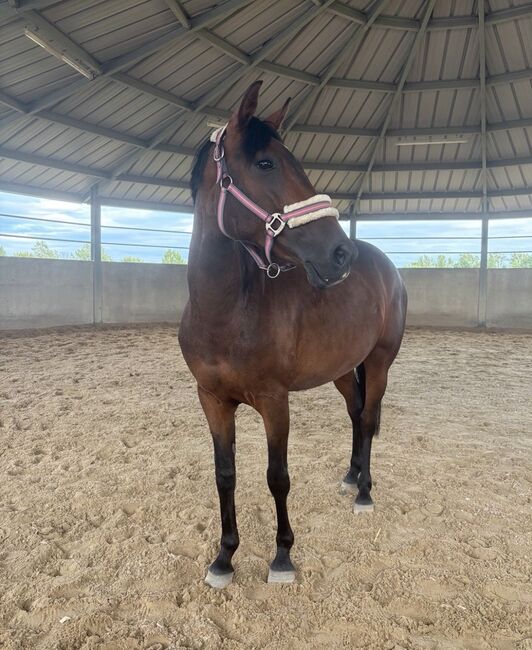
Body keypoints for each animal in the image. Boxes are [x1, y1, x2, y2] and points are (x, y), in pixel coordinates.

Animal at [178, 80, 407, 588]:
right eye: (266, 163)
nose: (340, 253)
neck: (228, 312)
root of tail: (384, 266)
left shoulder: (273, 400)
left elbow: (277, 476)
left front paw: (282, 556)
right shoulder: (212, 399)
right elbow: (225, 474)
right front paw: (224, 558)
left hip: (379, 362)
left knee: (368, 418)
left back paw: (364, 492)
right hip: (343, 368)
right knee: (356, 414)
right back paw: (350, 475)